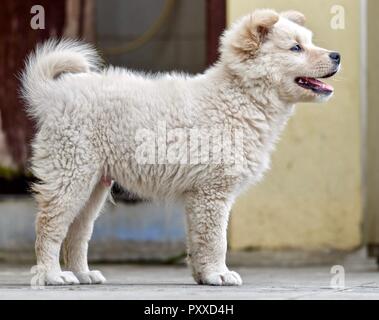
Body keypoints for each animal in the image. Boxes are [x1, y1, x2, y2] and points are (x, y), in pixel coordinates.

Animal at [20, 8, 342, 286]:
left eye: (309, 42)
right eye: (296, 48)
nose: (337, 55)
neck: (240, 97)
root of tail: (55, 94)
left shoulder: (198, 194)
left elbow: (199, 240)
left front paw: (204, 276)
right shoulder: (213, 191)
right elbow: (216, 240)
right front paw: (219, 274)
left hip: (94, 184)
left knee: (77, 232)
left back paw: (83, 274)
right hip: (71, 173)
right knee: (49, 226)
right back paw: (52, 276)